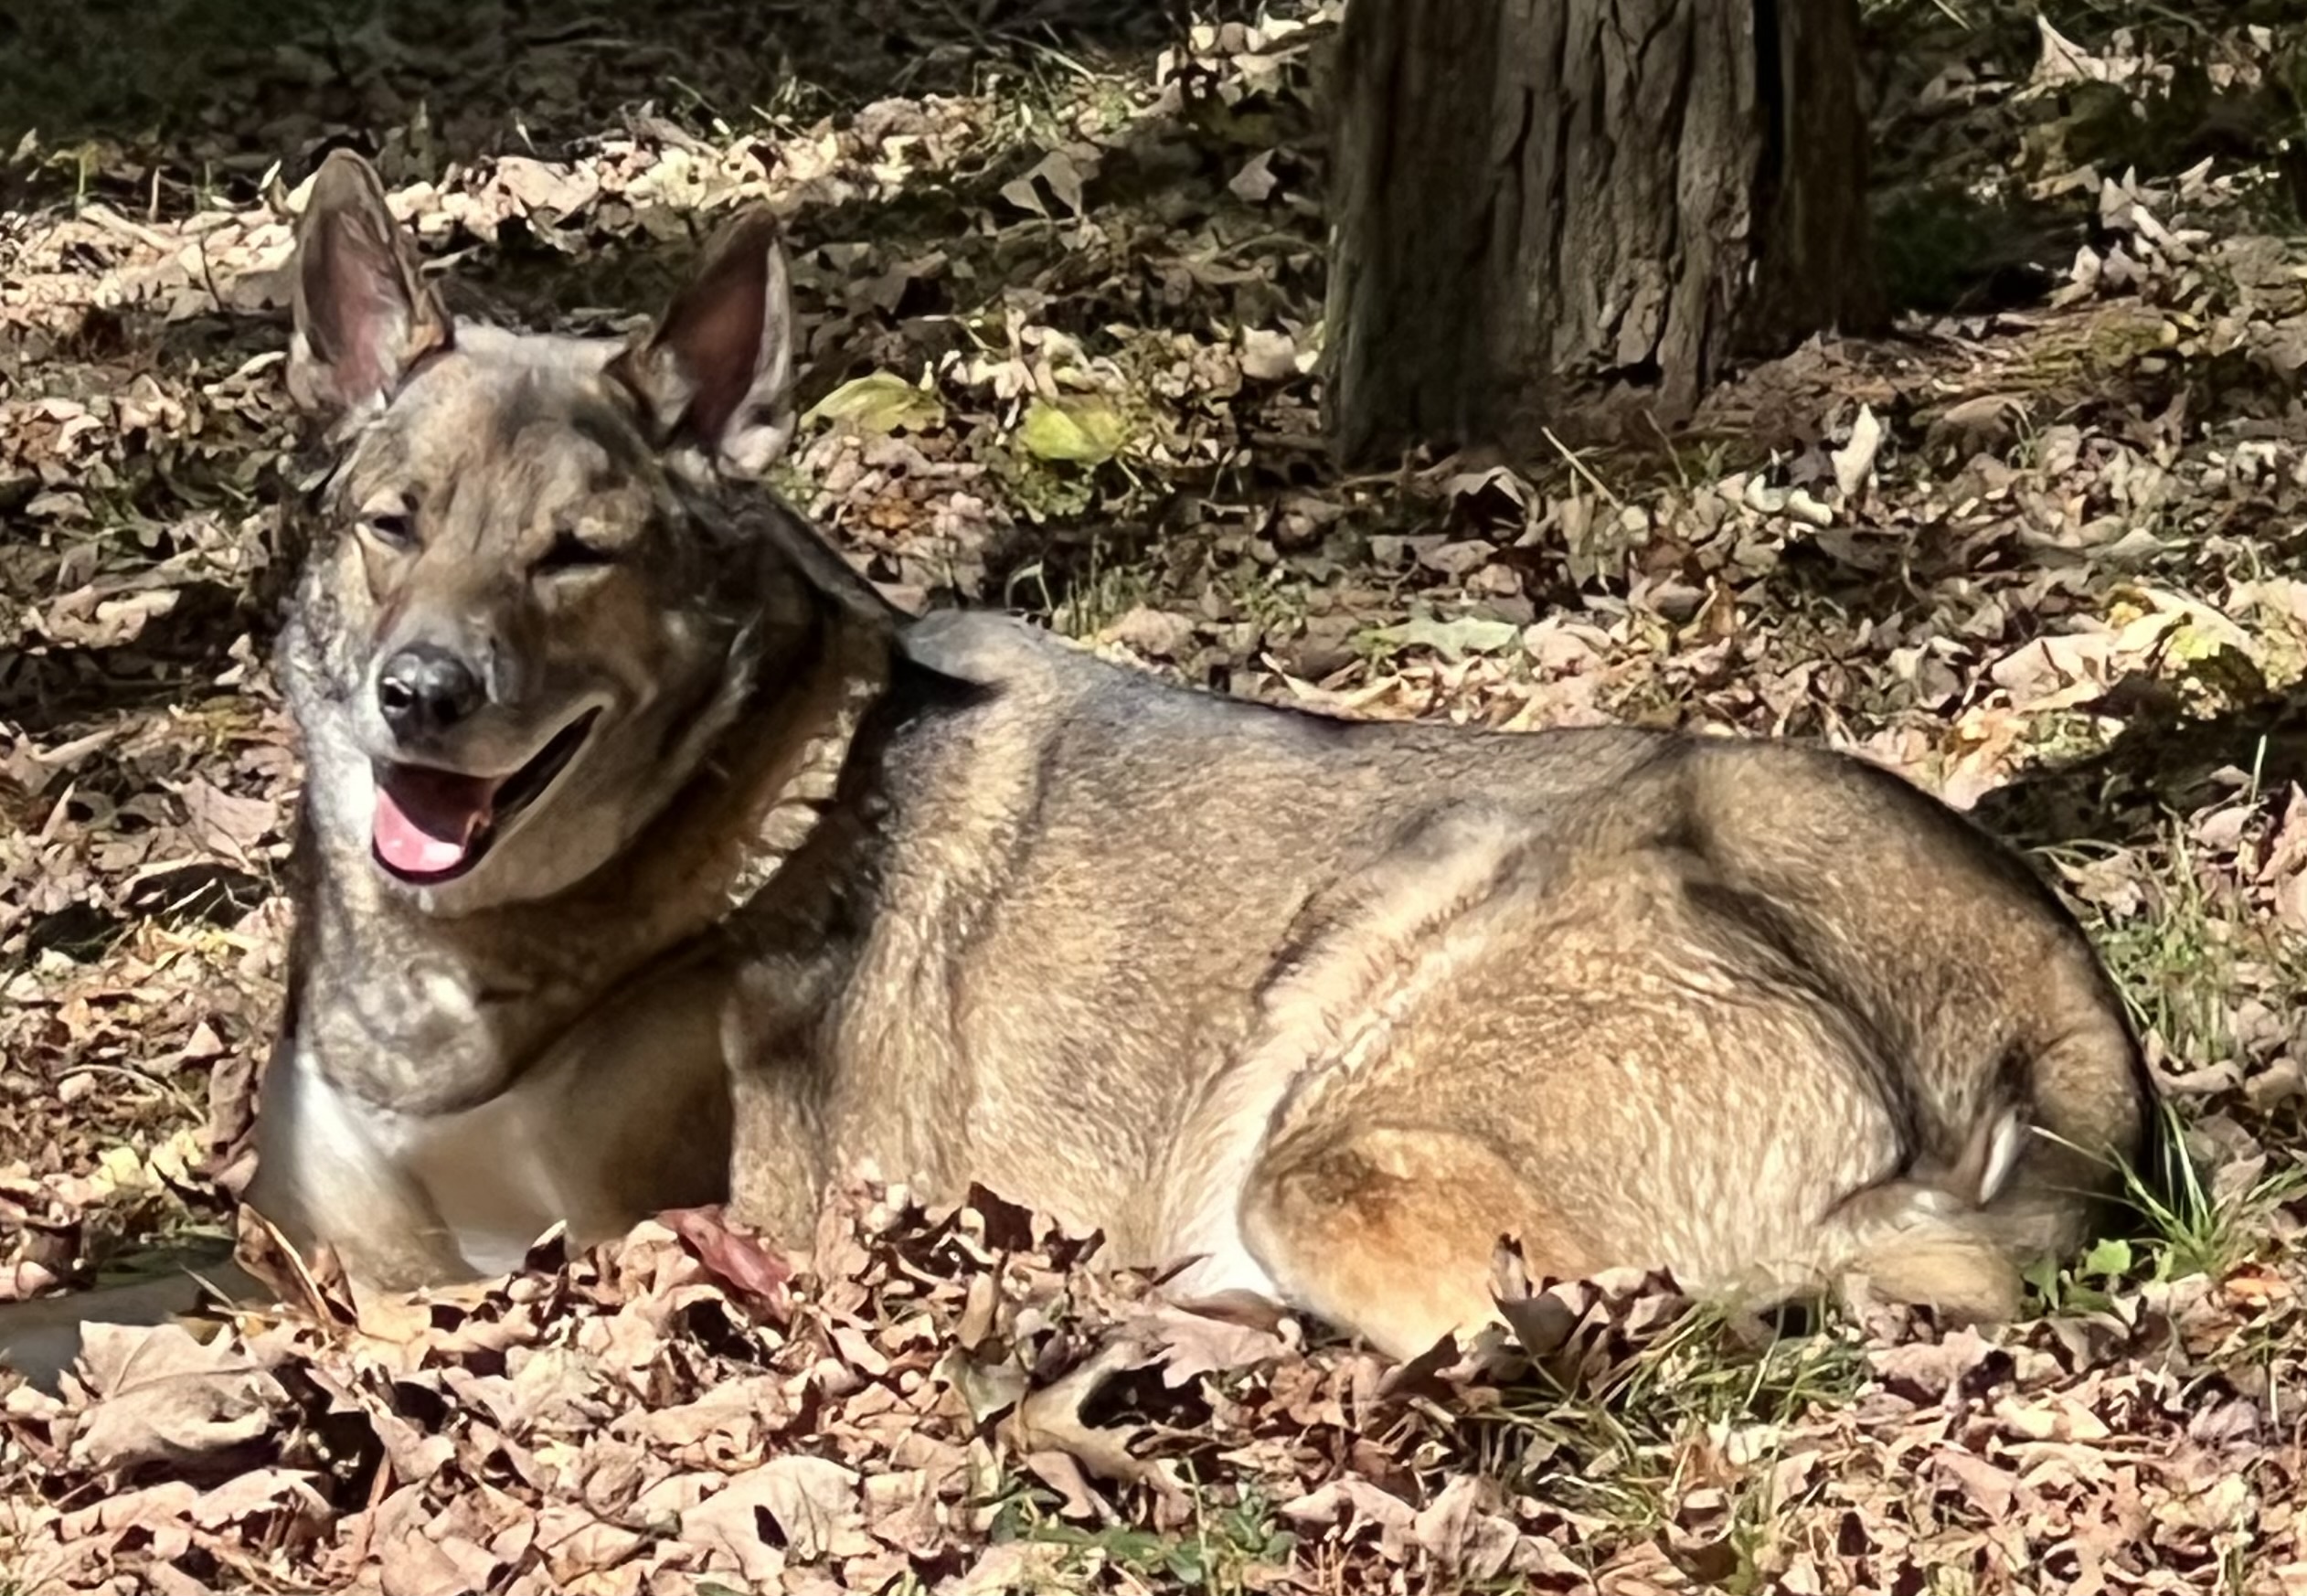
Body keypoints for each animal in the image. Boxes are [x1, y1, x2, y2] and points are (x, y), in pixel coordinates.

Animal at [4, 152, 2159, 1383]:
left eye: (573, 554)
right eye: (394, 524)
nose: (422, 697)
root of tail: (2051, 992)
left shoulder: (629, 1241)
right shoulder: (302, 1235)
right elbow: (103, 1289)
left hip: (1341, 1116)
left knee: (1537, 1330)